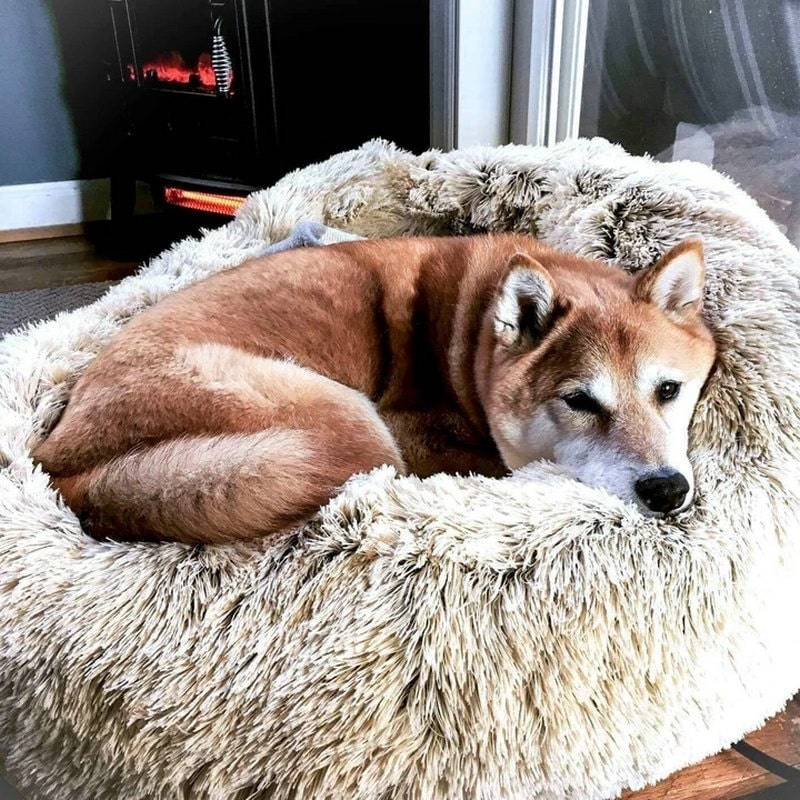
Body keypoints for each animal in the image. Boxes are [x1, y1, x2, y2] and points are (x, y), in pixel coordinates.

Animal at [34, 233, 716, 544]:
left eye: (668, 390)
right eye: (579, 401)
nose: (666, 490)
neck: (469, 342)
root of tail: (62, 466)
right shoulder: (415, 430)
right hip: (350, 425)